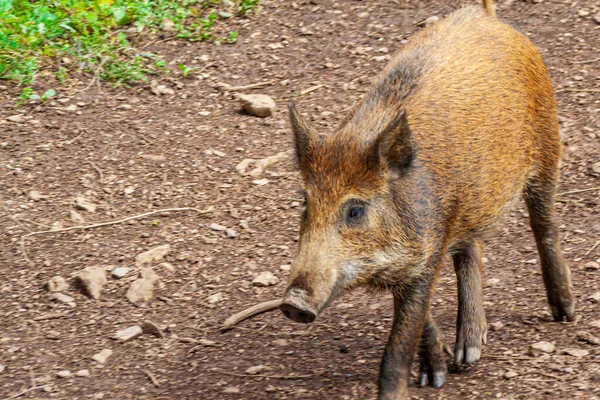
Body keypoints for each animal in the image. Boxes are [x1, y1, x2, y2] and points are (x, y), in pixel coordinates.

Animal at [278, 0, 576, 398]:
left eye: (355, 210)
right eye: (306, 203)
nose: (293, 303)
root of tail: (486, 16)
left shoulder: (427, 251)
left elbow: (398, 345)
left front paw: (420, 384)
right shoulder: (413, 257)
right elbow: (418, 317)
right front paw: (435, 377)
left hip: (547, 147)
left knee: (545, 225)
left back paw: (565, 313)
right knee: (472, 249)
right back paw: (467, 355)